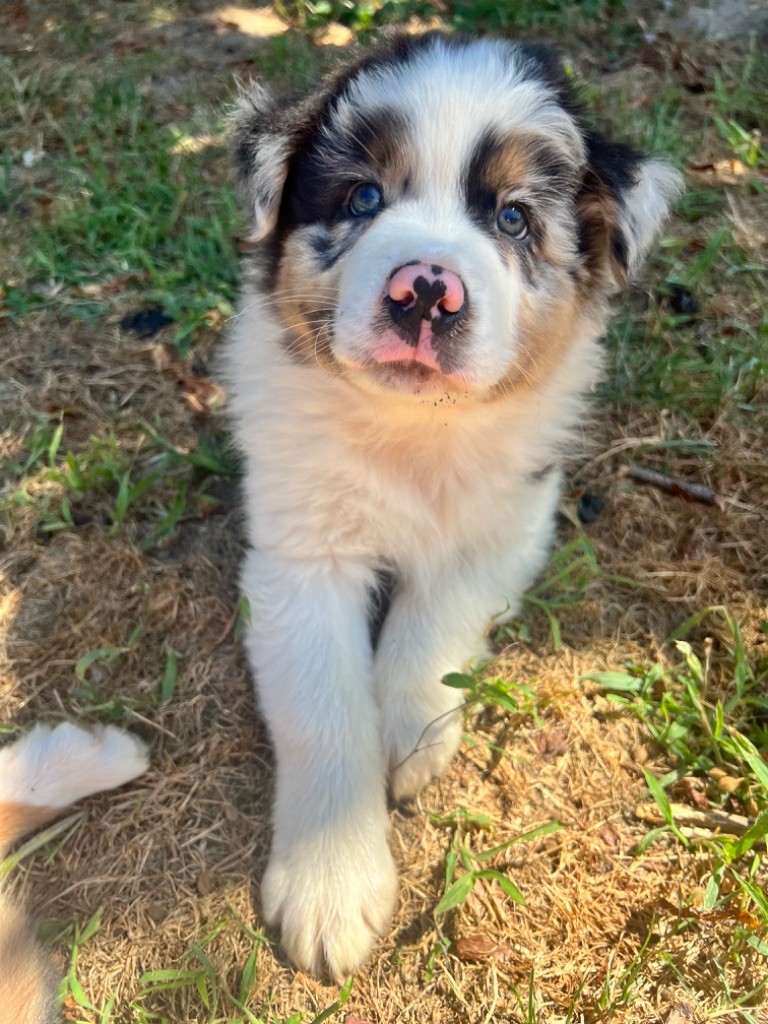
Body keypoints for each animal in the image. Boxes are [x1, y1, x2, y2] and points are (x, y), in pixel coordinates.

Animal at [227, 29, 679, 974]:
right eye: (363, 197)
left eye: (512, 218)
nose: (427, 290)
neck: (413, 428)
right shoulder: (297, 557)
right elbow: (324, 709)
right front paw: (331, 887)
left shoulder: (514, 519)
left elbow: (436, 620)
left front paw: (410, 731)